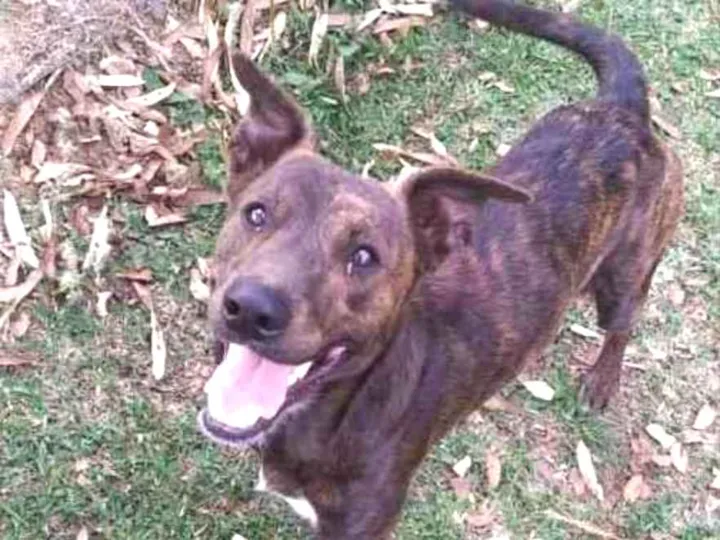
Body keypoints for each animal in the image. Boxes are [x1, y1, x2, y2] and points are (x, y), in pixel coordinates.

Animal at [198, 1, 684, 537]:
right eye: (256, 214)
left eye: (364, 257)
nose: (251, 309)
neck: (339, 407)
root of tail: (623, 109)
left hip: (622, 277)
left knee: (626, 318)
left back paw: (602, 379)